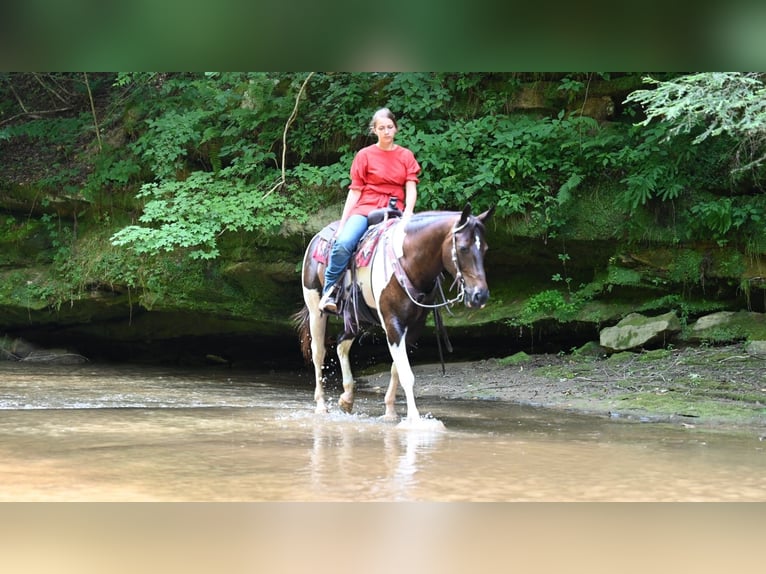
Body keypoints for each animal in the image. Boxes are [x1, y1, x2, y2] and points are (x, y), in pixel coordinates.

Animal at [294, 205, 498, 426]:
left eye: (485, 249)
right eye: (463, 248)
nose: (480, 295)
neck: (408, 262)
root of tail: (317, 237)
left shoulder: (413, 327)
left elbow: (396, 369)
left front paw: (391, 412)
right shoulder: (393, 322)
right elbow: (406, 374)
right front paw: (415, 420)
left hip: (357, 317)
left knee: (341, 343)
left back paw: (347, 398)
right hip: (316, 310)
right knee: (318, 353)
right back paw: (321, 405)